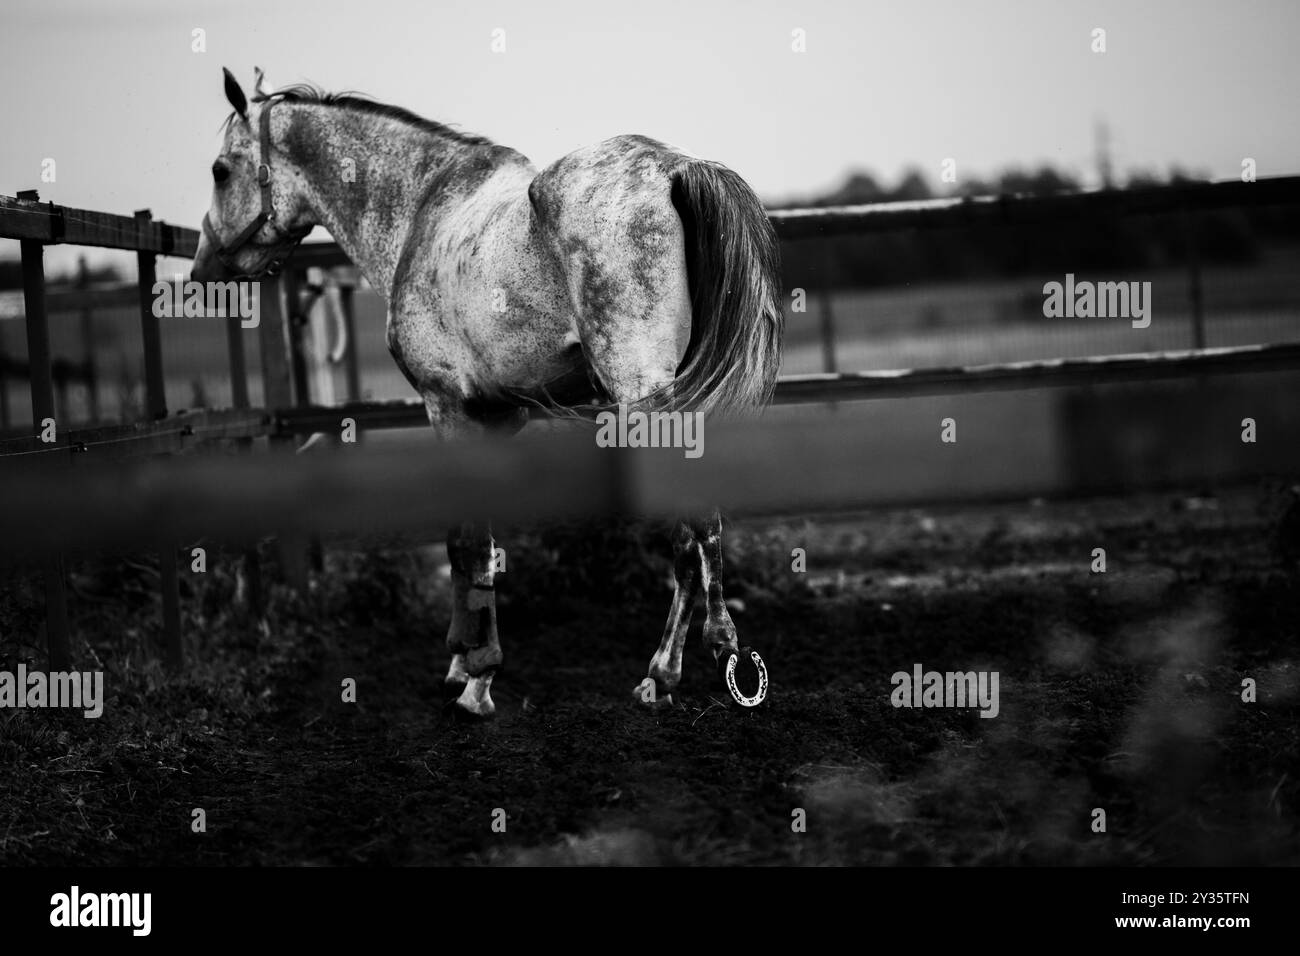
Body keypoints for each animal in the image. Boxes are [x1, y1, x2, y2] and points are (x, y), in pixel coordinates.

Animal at [191, 67, 780, 723]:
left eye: (220, 170)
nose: (201, 272)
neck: (421, 211)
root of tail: (677, 168)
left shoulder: (446, 406)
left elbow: (465, 539)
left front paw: (477, 677)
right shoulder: (496, 416)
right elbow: (476, 540)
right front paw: (462, 661)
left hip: (646, 400)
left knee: (689, 531)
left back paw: (677, 665)